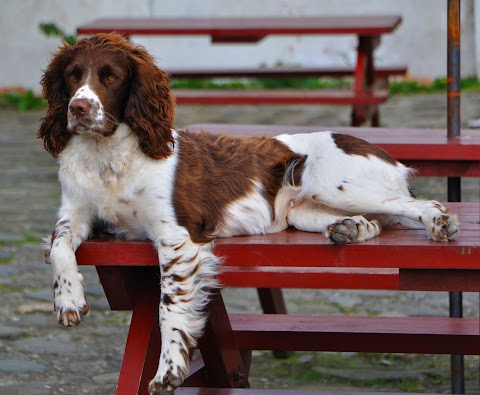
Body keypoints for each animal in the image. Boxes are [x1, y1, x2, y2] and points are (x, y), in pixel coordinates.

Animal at [37, 33, 458, 392]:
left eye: (111, 76)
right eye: (72, 76)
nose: (77, 108)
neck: (108, 157)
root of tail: (378, 150)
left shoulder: (177, 237)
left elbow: (168, 304)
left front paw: (168, 371)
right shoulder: (75, 211)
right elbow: (58, 244)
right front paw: (68, 301)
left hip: (335, 182)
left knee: (417, 204)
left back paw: (440, 223)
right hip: (304, 210)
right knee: (374, 223)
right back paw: (348, 229)